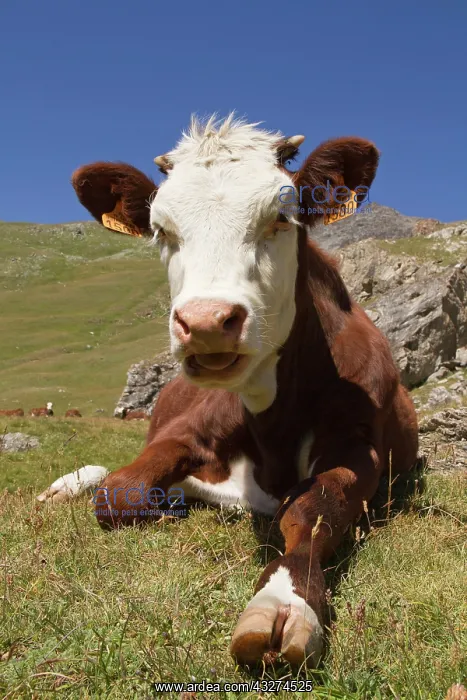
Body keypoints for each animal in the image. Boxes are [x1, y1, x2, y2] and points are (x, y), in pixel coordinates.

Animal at [37, 115, 418, 668]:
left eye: (280, 217)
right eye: (161, 229)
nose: (206, 322)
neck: (274, 421)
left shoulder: (358, 446)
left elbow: (311, 508)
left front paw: (282, 601)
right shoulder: (184, 432)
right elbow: (120, 490)